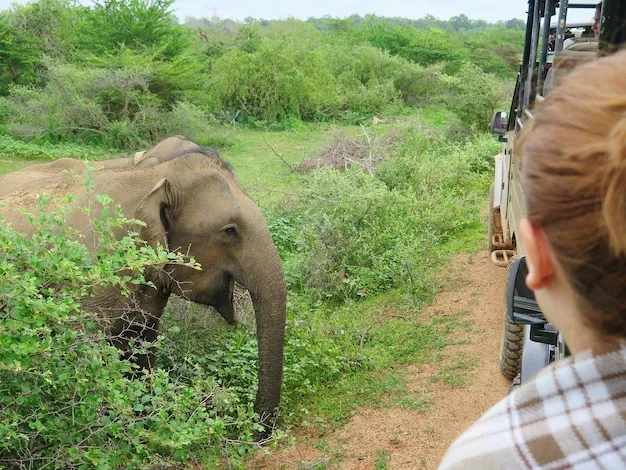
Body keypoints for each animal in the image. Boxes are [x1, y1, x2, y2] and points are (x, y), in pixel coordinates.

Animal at [0, 150, 286, 426]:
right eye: (230, 231)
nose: (254, 429)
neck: (152, 177)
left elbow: (140, 343)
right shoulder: (89, 276)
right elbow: (81, 349)